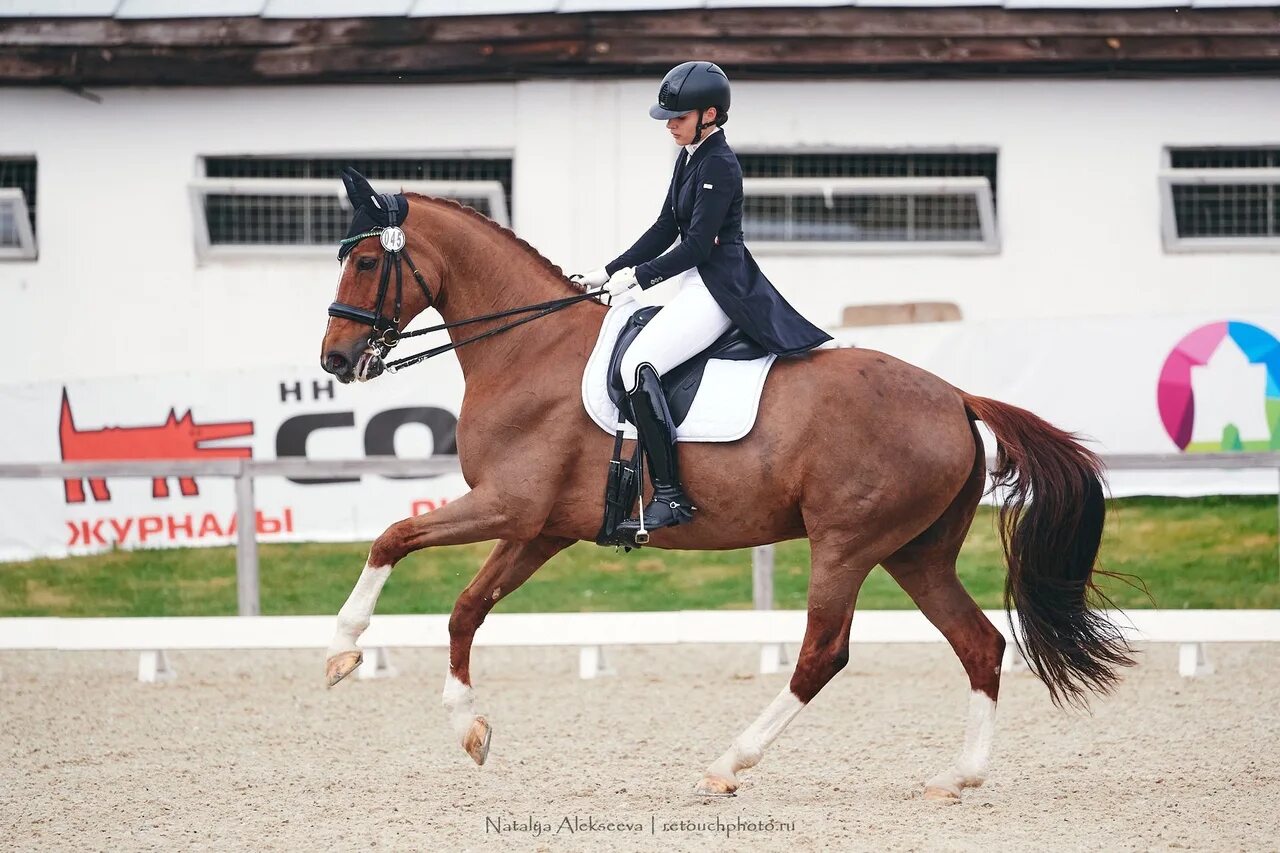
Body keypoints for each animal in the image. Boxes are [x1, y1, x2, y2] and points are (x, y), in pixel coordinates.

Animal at [317, 190, 1131, 799]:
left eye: (366, 259)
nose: (335, 359)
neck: (527, 351)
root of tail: (957, 396)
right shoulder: (540, 527)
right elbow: (465, 609)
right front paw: (469, 728)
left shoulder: (509, 506)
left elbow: (392, 536)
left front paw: (343, 649)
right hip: (916, 553)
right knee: (980, 643)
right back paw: (957, 777)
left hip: (848, 543)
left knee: (822, 653)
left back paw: (727, 764)